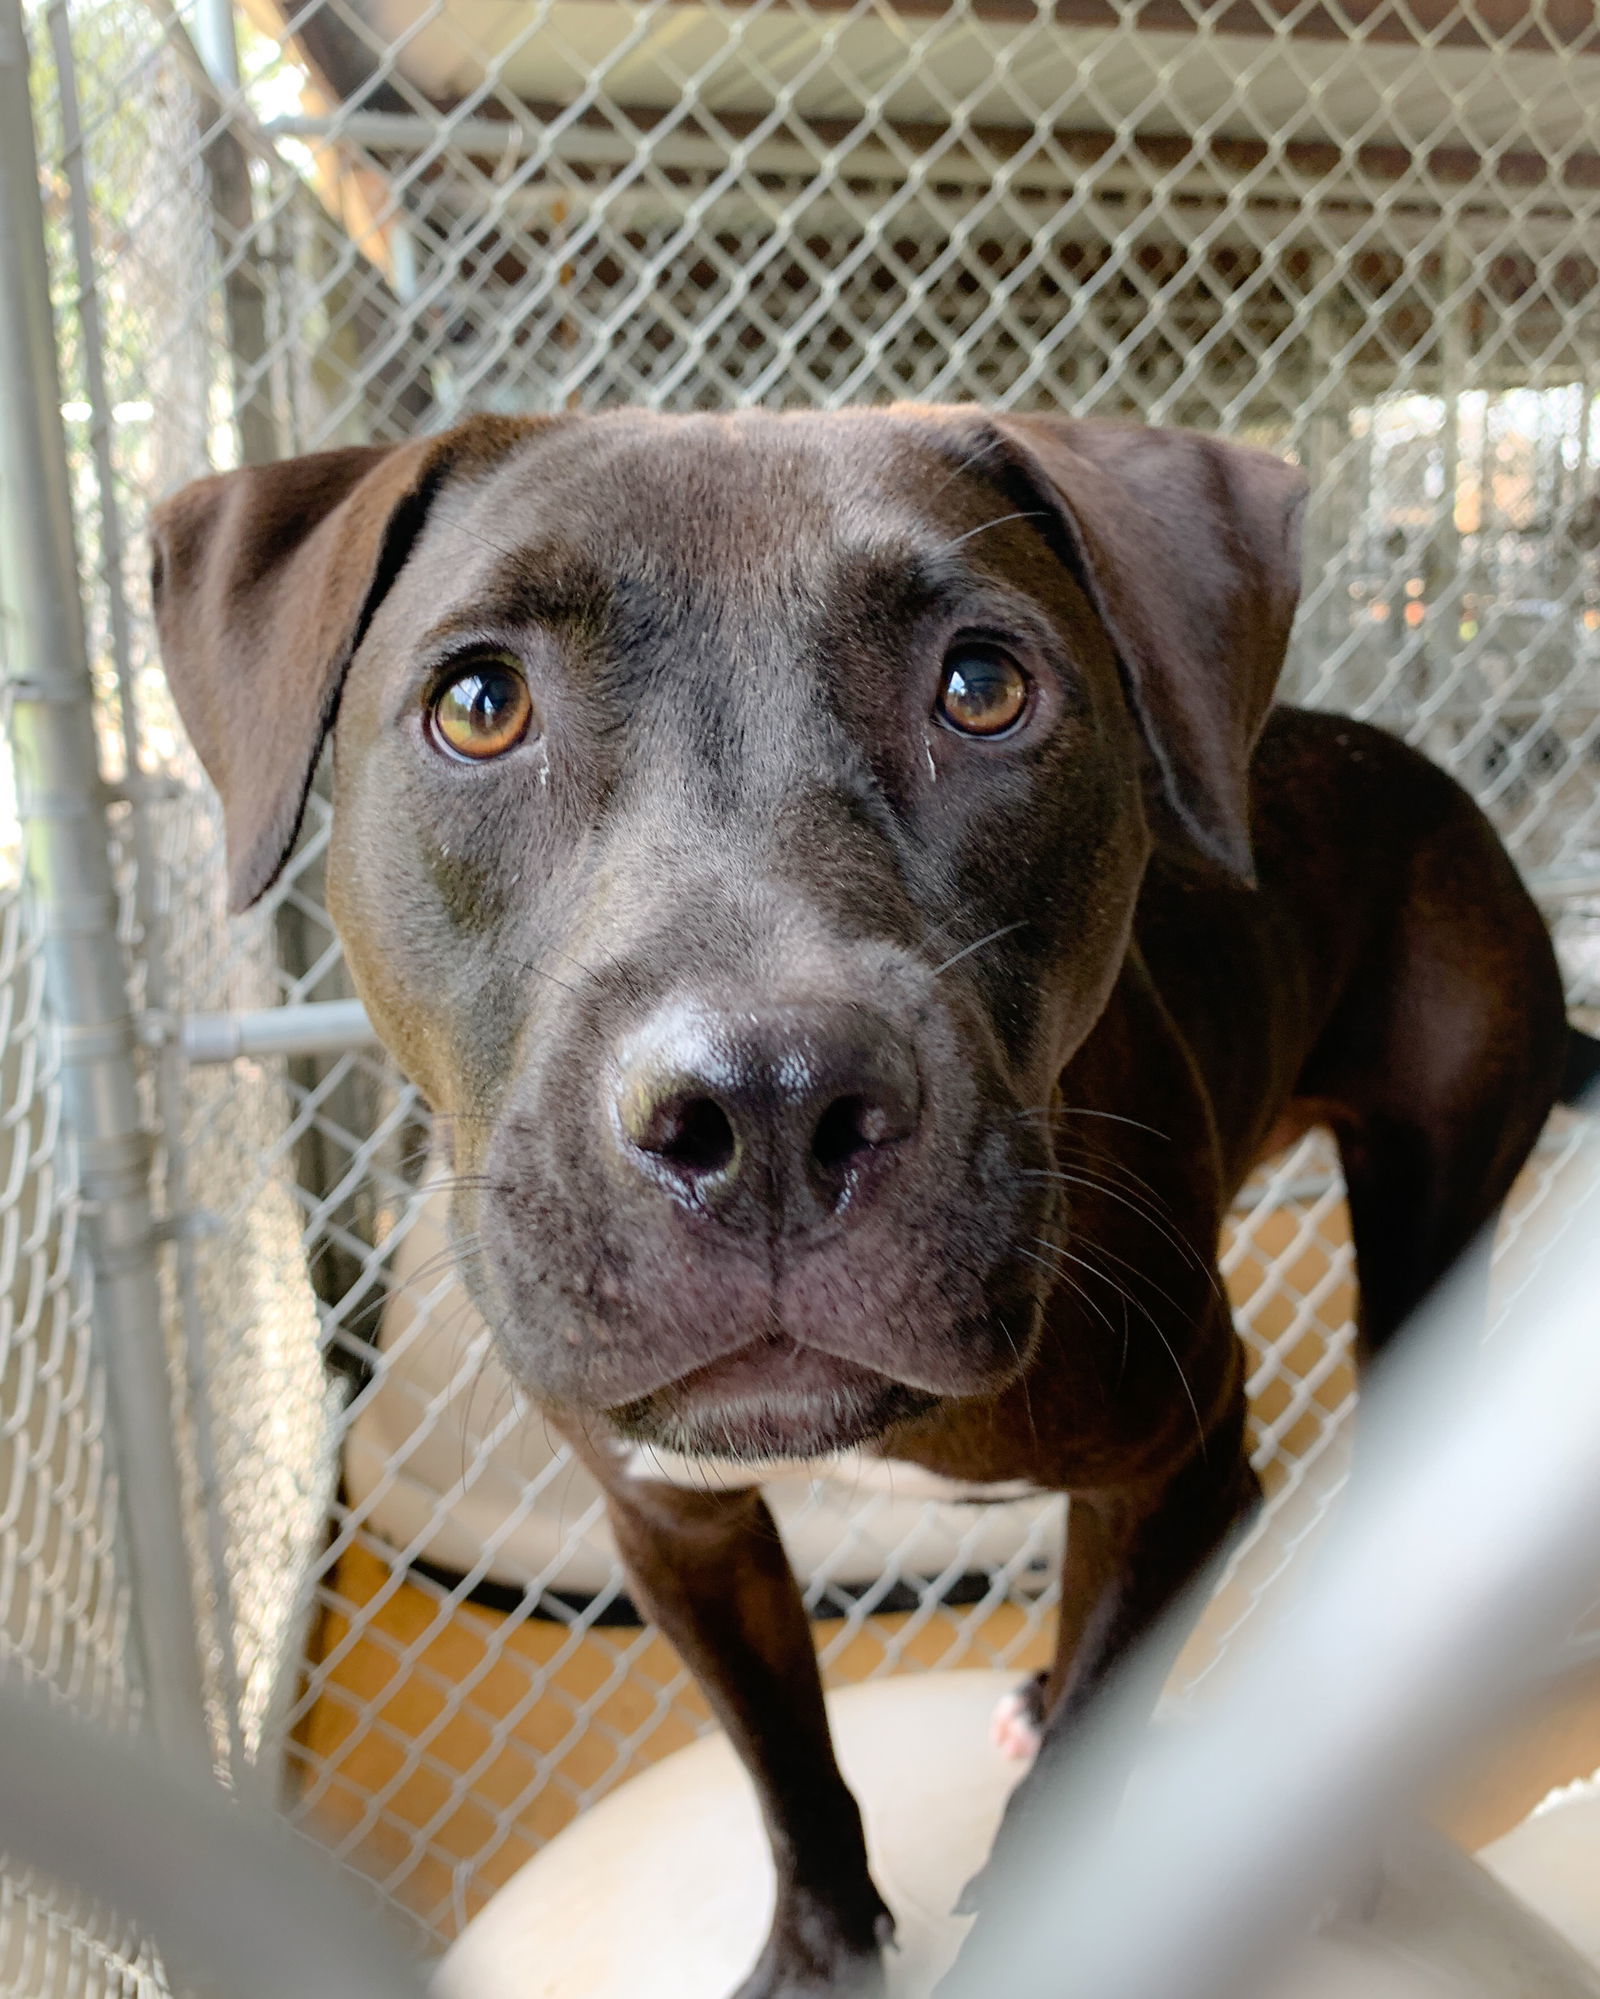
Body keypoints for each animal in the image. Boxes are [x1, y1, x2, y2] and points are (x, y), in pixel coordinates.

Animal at [153, 409, 1584, 1999]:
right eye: (478, 704)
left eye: (984, 685)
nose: (767, 1107)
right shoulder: (678, 1529)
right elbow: (784, 1755)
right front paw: (821, 1948)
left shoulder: (1194, 1459)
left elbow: (1080, 1764)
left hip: (1426, 1222)